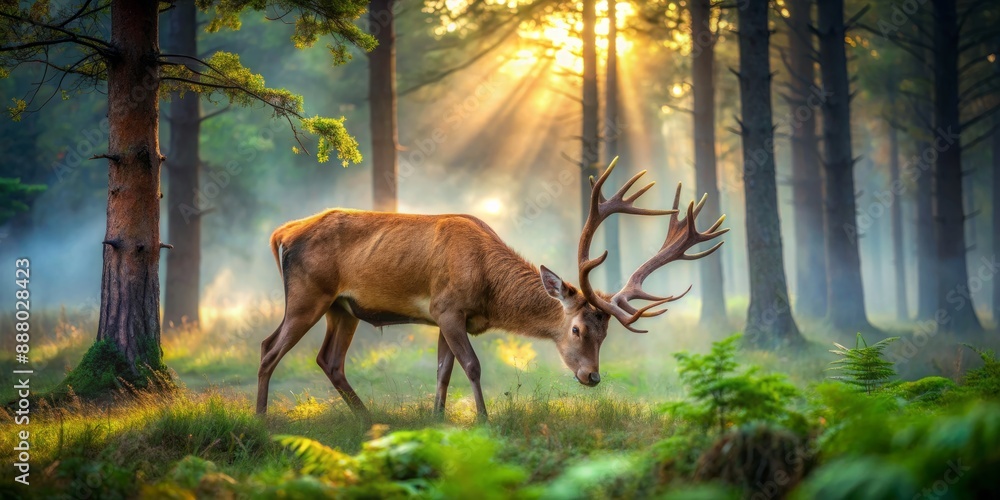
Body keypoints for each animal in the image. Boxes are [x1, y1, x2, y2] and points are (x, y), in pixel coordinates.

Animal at [256, 158, 728, 419]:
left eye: (606, 333)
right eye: (577, 329)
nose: (592, 376)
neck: (487, 289)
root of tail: (281, 233)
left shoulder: (446, 318)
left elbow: (443, 371)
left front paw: (438, 419)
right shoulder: (447, 308)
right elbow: (472, 366)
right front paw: (483, 419)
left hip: (343, 307)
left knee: (328, 360)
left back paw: (364, 416)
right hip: (307, 295)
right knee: (269, 348)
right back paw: (262, 418)